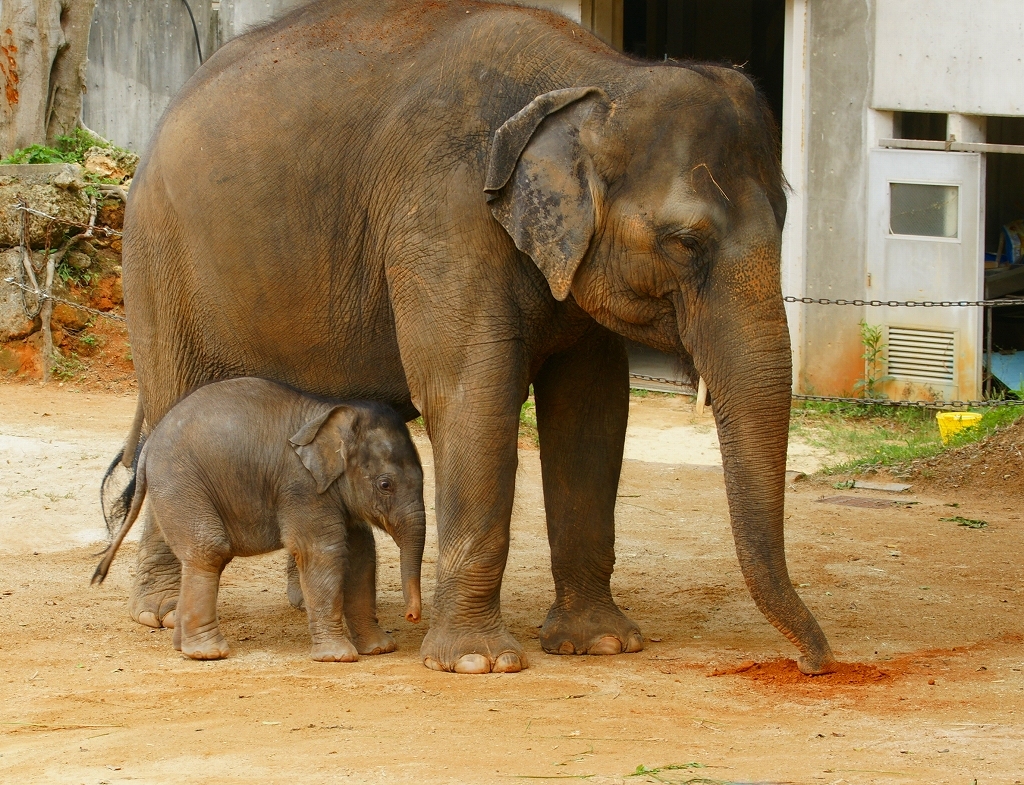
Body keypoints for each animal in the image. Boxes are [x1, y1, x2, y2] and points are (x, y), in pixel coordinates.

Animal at [90, 376, 421, 659]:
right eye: (385, 485)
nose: (412, 616)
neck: (330, 414)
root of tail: (148, 446)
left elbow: (361, 554)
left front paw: (379, 650)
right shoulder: (300, 487)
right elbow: (321, 552)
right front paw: (339, 657)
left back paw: (183, 647)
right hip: (180, 484)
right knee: (209, 550)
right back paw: (208, 653)